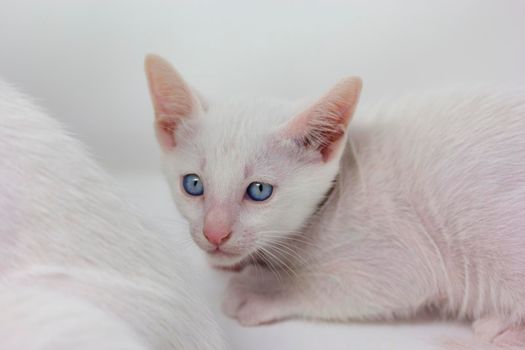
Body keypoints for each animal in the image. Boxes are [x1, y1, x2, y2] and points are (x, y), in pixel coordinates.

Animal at [145, 53, 524, 348]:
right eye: (193, 185)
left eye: (259, 191)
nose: (215, 233)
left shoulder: (405, 254)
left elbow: (343, 285)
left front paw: (263, 288)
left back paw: (501, 329)